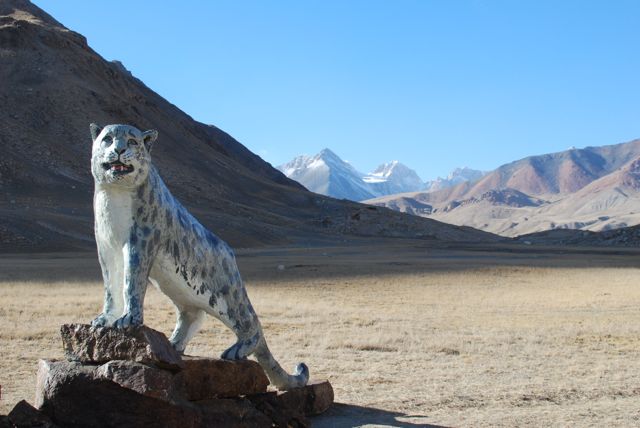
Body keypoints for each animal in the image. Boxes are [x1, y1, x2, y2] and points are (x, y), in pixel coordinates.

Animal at [89, 123, 308, 390]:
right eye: (107, 139)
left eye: (132, 141)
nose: (119, 149)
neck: (113, 198)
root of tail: (230, 255)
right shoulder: (106, 247)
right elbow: (111, 285)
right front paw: (105, 318)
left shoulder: (140, 241)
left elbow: (132, 282)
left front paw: (129, 319)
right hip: (178, 287)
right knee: (193, 314)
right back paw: (172, 345)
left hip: (227, 295)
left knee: (251, 323)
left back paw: (235, 350)